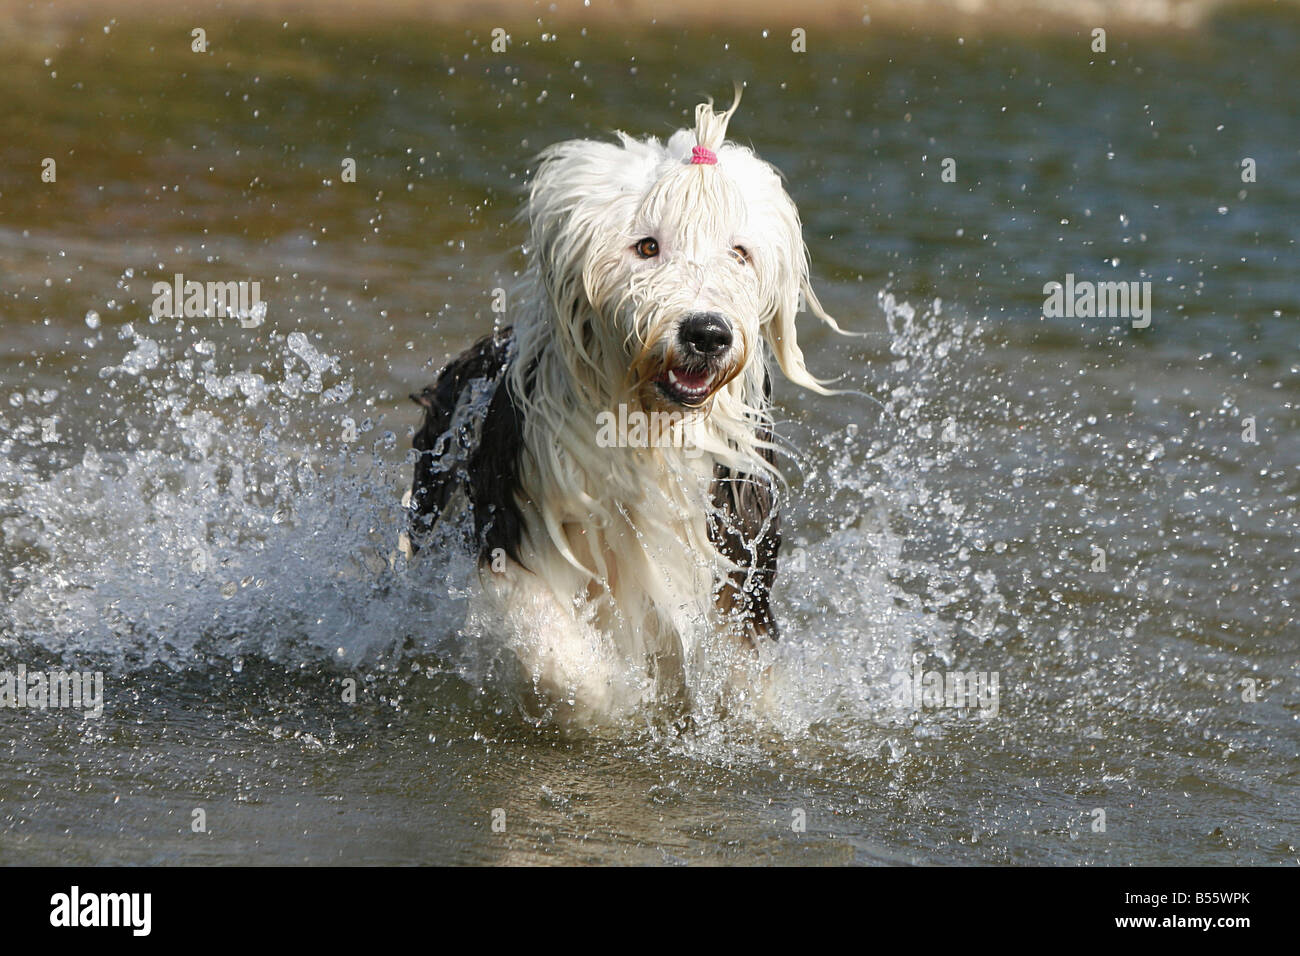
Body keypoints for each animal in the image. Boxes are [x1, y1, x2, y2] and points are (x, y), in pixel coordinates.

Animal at [410, 93, 847, 728]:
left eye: (738, 253)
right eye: (647, 246)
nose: (707, 333)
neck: (651, 429)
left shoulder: (735, 538)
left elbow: (747, 662)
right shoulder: (518, 514)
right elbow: (556, 654)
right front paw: (612, 699)